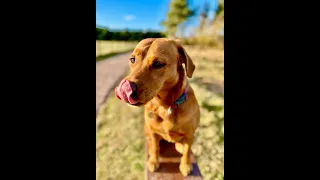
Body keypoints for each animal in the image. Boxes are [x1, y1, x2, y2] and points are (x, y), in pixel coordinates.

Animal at [115, 38, 200, 176]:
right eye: (132, 59)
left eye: (158, 64)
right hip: (147, 128)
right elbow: (155, 147)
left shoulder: (189, 134)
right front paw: (154, 161)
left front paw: (185, 165)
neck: (165, 106)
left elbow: (188, 151)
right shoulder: (154, 132)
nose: (126, 88)